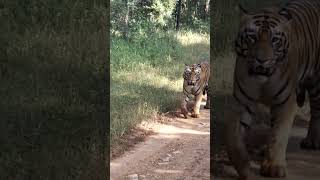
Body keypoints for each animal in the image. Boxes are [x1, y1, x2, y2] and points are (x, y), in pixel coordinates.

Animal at [224, 0, 320, 179]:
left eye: (275, 40)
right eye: (252, 37)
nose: (262, 60)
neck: (263, 82)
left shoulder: (287, 102)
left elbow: (279, 133)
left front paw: (274, 167)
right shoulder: (242, 102)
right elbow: (233, 139)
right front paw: (244, 168)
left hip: (316, 81)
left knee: (317, 110)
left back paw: (312, 140)